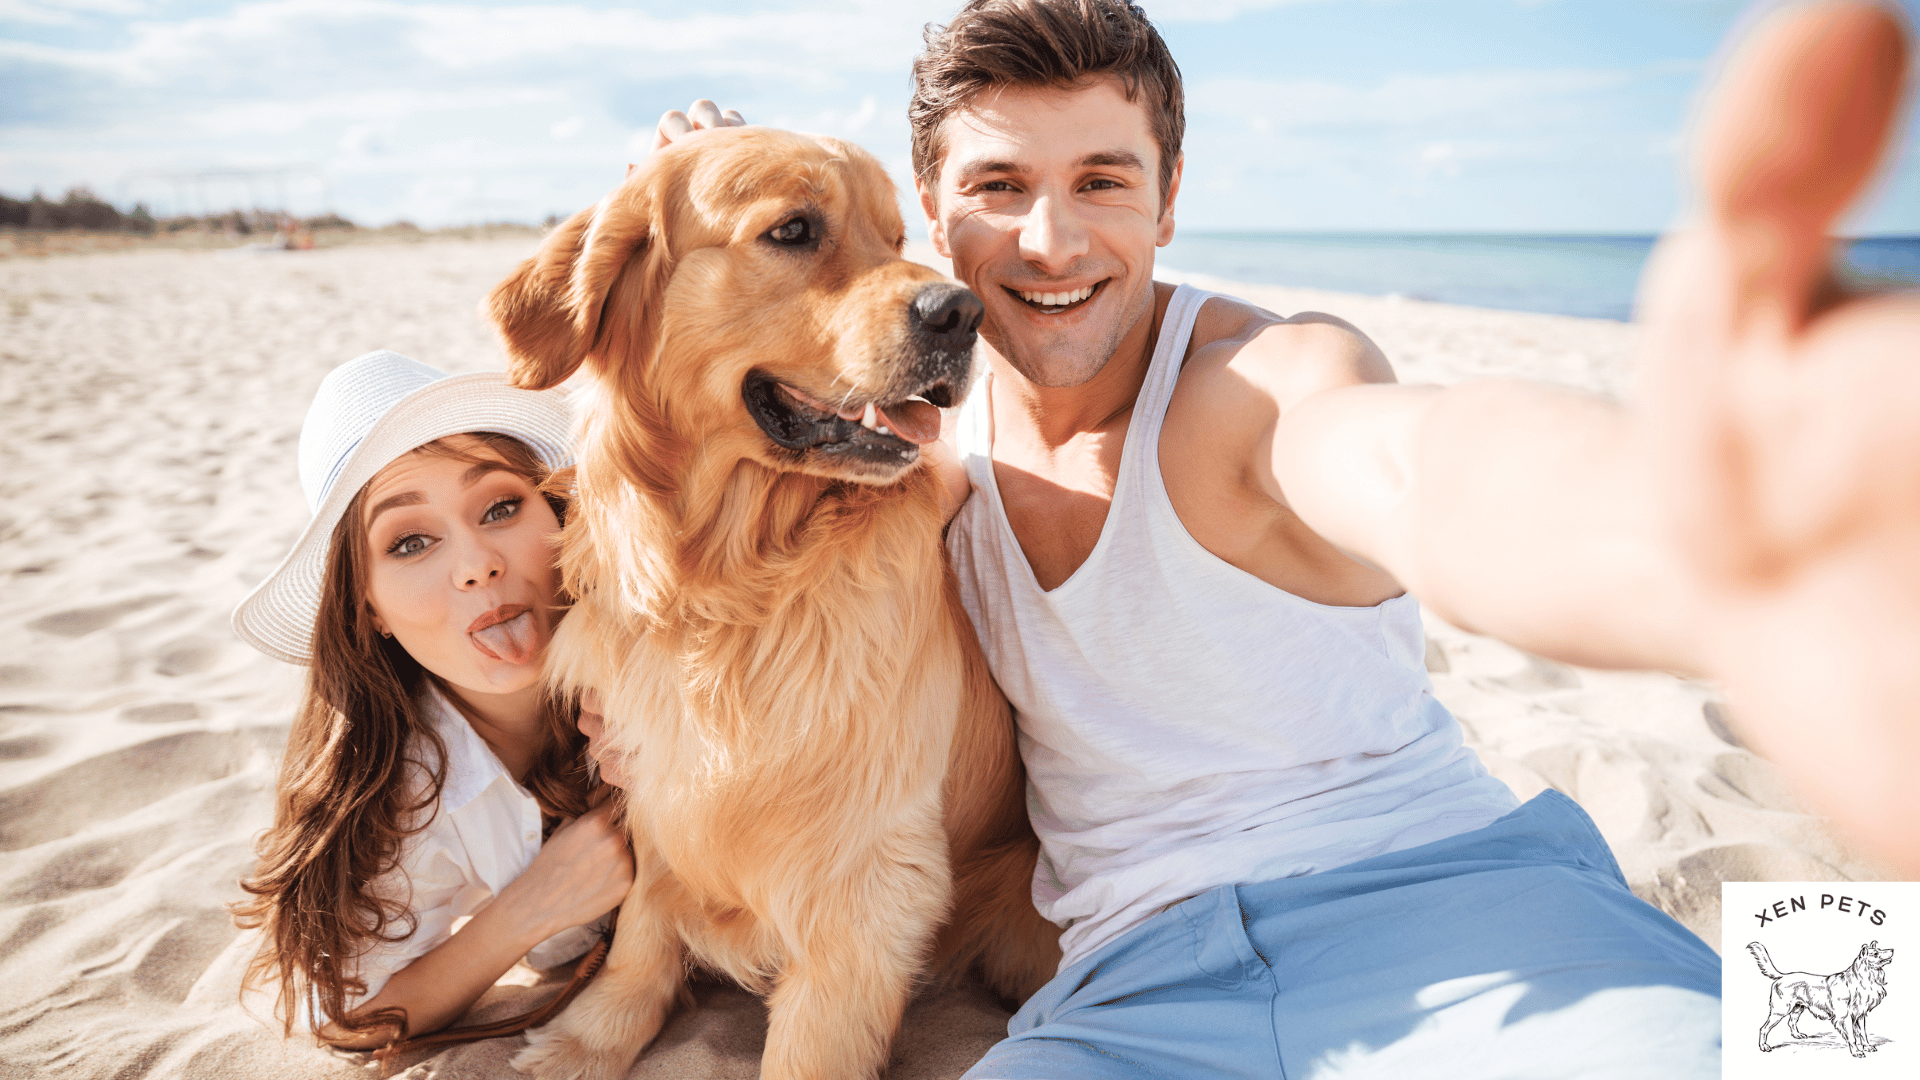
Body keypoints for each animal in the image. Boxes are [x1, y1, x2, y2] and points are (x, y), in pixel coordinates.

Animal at [476, 125, 1052, 1076]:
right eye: (793, 231)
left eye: (895, 236)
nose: (964, 313)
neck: (730, 586)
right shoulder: (655, 788)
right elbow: (642, 933)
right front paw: (589, 1038)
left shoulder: (866, 883)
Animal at [1751, 933, 1896, 1053]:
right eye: (1876, 953)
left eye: (1880, 950)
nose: (1892, 950)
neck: (1861, 979)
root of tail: (1783, 976)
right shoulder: (1843, 1018)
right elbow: (1852, 1037)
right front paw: (1856, 1052)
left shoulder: (1859, 1015)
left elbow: (1863, 1034)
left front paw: (1867, 1047)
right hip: (1780, 1011)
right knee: (1764, 1028)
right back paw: (1764, 1046)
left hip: (1798, 1008)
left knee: (1791, 1022)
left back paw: (1797, 1035)